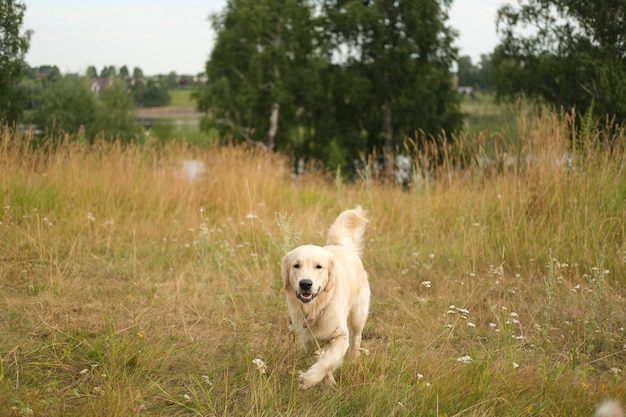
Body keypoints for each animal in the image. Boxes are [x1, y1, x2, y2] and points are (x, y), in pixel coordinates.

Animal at [280, 206, 368, 388]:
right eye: (296, 265)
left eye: (318, 266)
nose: (305, 284)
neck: (316, 307)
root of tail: (340, 245)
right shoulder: (308, 340)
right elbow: (320, 359)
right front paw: (327, 382)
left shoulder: (340, 336)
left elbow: (329, 360)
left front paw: (309, 379)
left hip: (358, 315)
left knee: (356, 338)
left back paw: (353, 359)